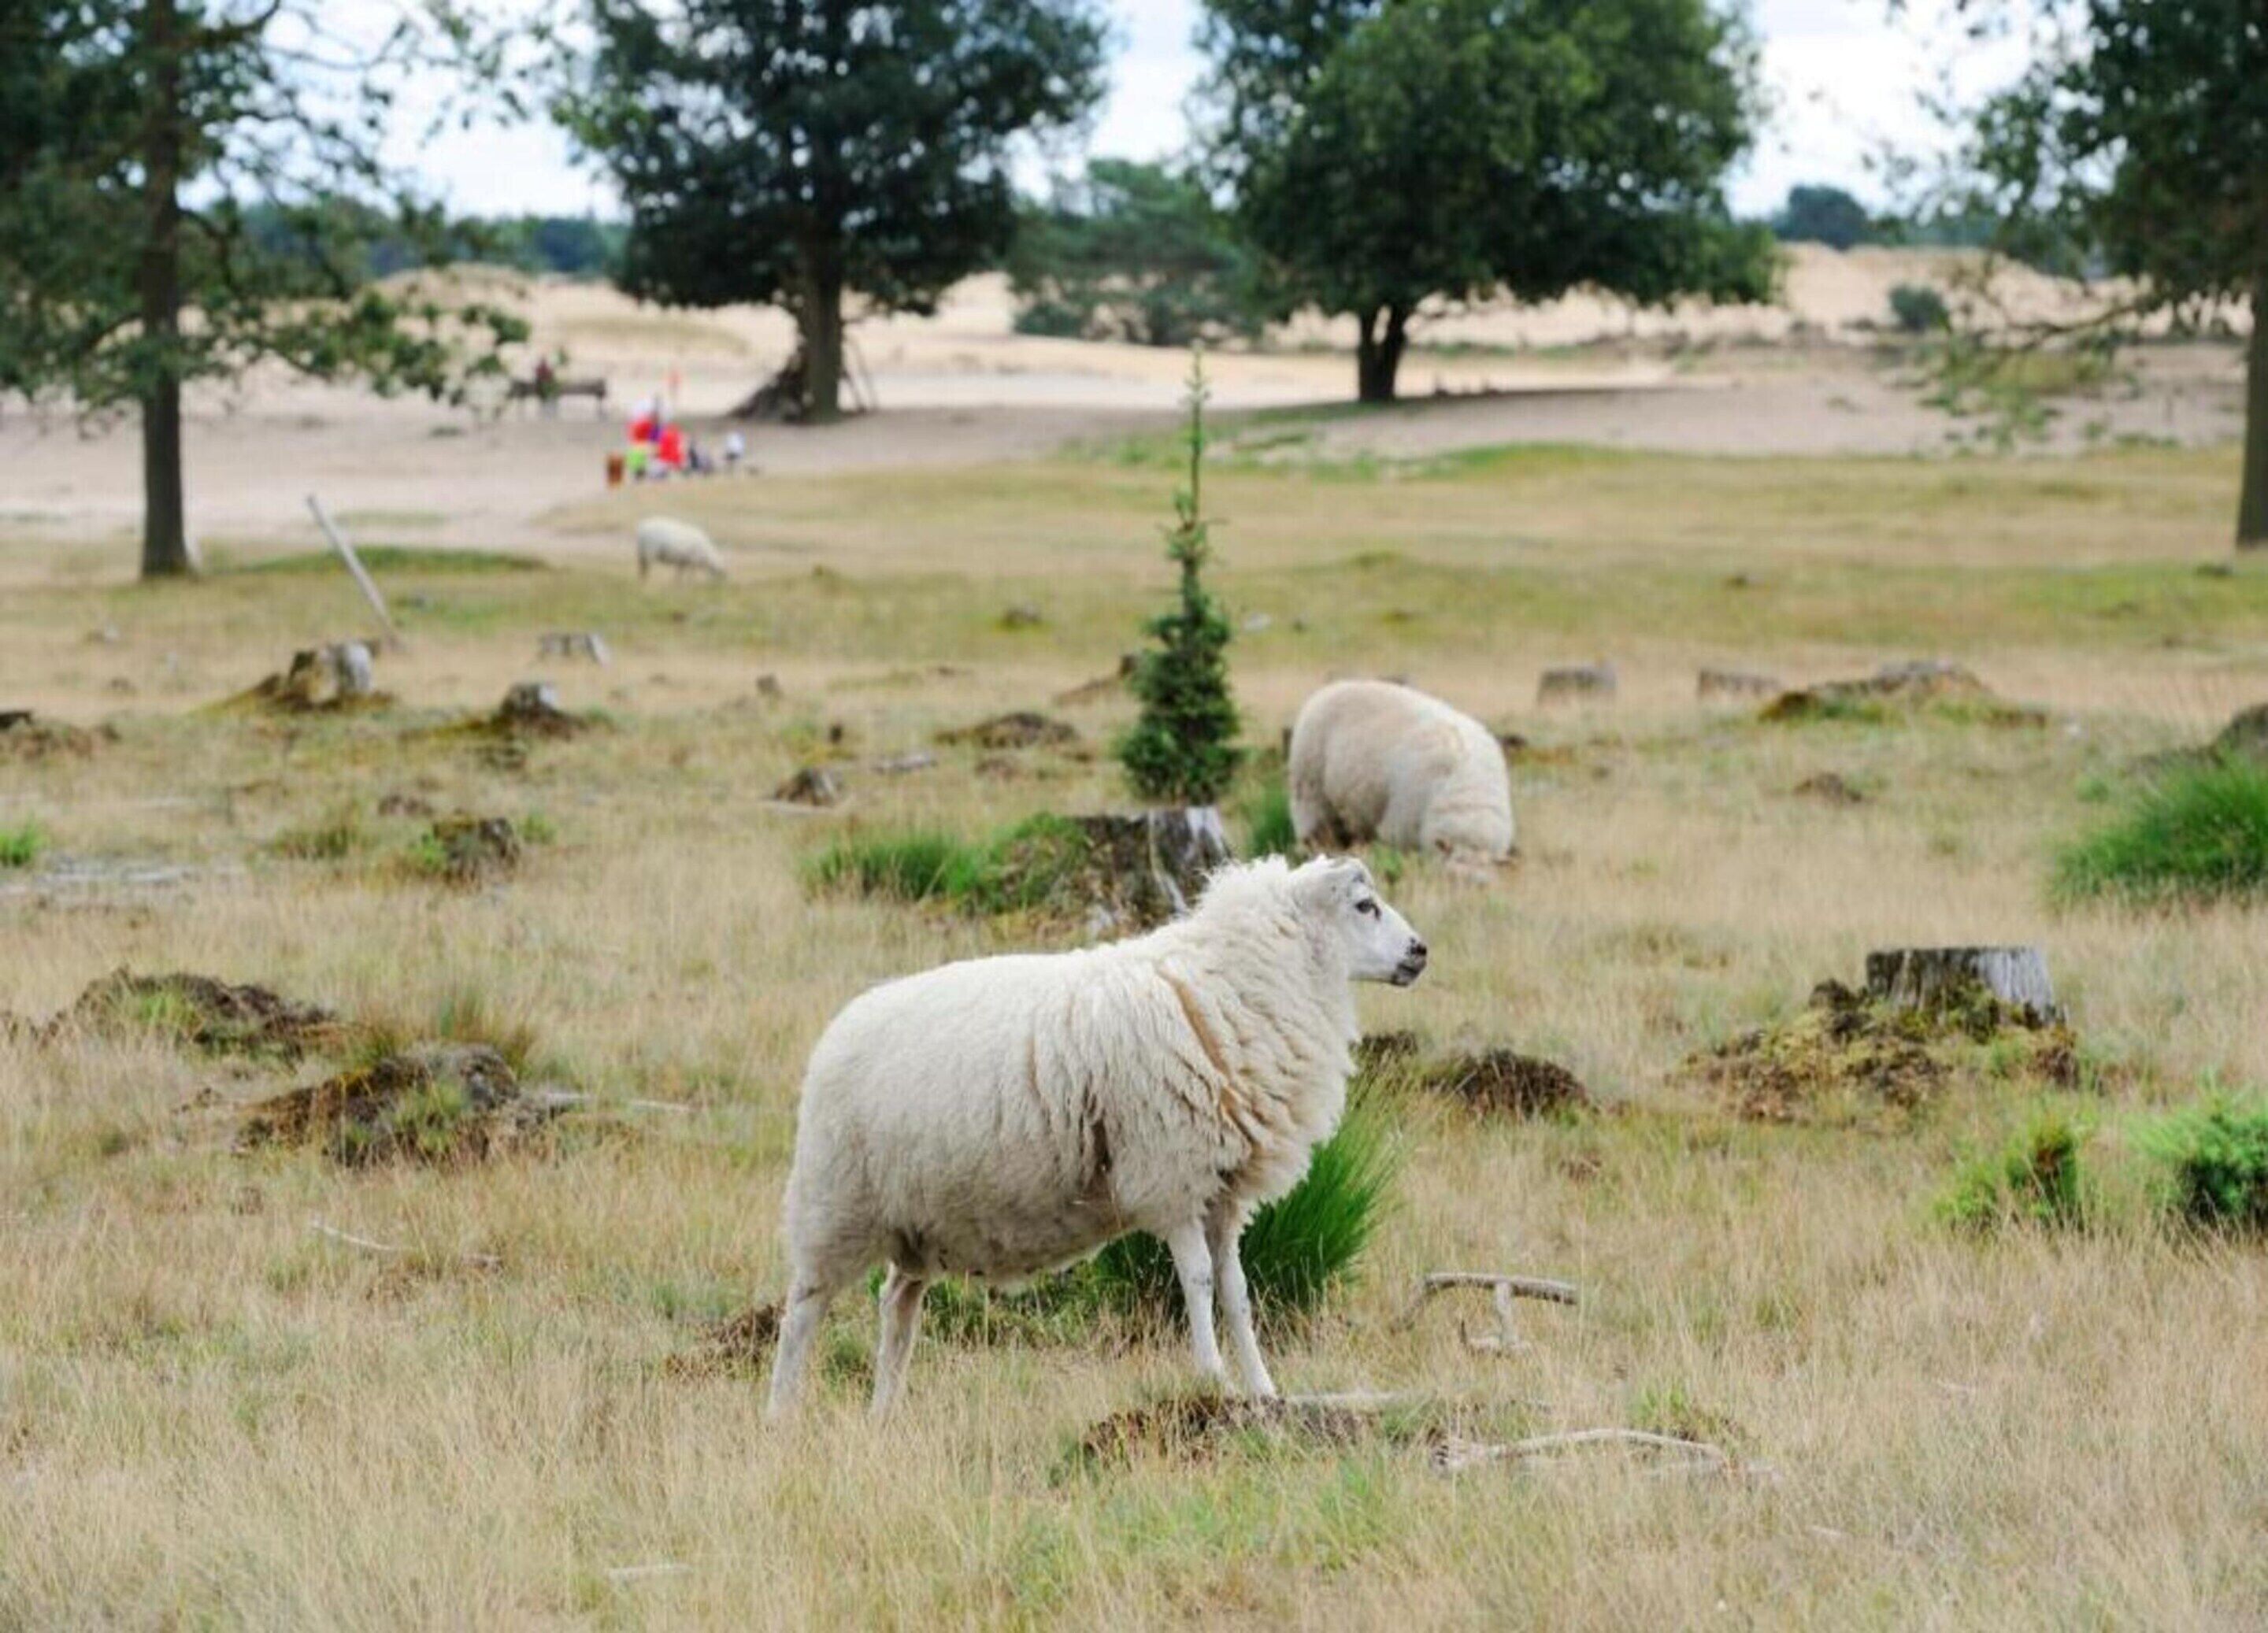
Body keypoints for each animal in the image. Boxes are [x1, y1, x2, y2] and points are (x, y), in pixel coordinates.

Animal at [766, 854, 1428, 1419]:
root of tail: (840, 1028)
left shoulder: (1220, 1189)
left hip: (917, 1221)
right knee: (802, 1310)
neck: (1230, 989)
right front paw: (1211, 1378)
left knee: (897, 1303)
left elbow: (1238, 1289)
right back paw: (782, 1413)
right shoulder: (1173, 1175)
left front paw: (1263, 1388)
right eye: (1364, 905)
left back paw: (885, 1412)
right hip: (837, 1203)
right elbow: (1199, 1282)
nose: (1421, 952)